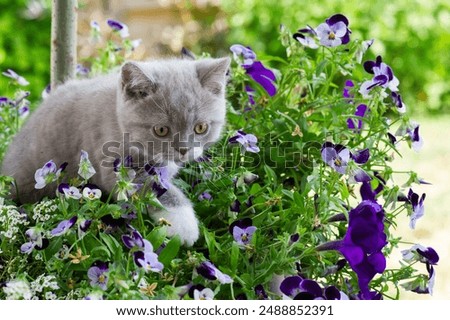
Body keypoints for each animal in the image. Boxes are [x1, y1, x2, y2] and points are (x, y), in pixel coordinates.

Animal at [0, 55, 232, 245]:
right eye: (161, 130)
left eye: (201, 127)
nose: (183, 149)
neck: (118, 117)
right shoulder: (117, 167)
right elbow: (153, 188)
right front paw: (185, 224)